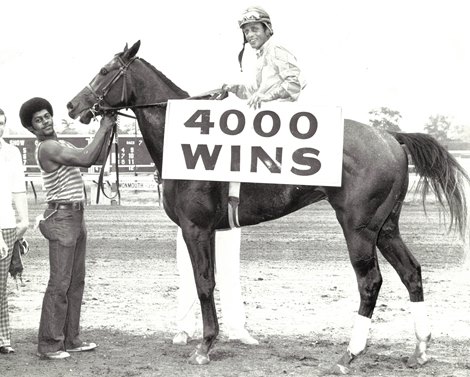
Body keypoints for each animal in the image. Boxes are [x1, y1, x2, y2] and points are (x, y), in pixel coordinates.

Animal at [65, 41, 466, 374]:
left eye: (104, 70)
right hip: (386, 226)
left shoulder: (196, 228)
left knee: (370, 283)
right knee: (411, 272)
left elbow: (205, 283)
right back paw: (419, 350)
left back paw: (349, 354)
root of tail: (390, 137)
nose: (73, 105)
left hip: (359, 228)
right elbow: (204, 281)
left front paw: (205, 346)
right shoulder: (206, 231)